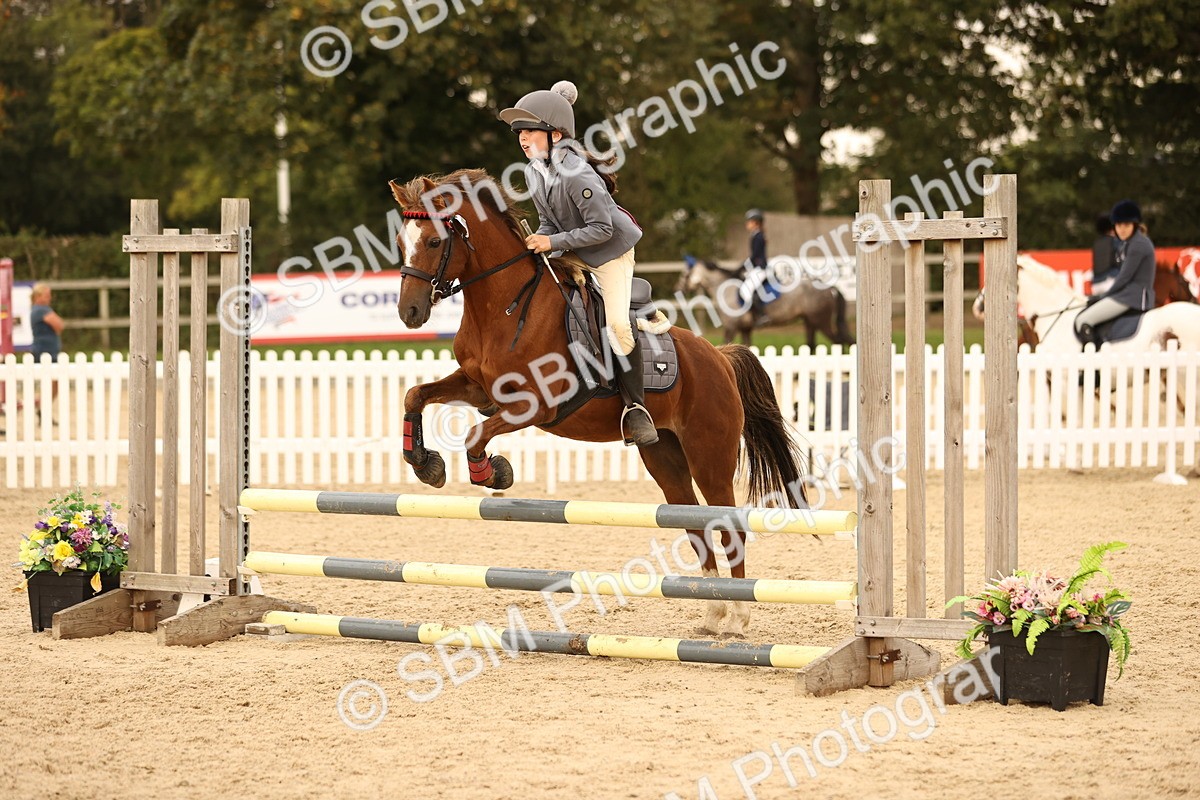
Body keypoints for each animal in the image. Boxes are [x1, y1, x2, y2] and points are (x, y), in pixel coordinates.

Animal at [388, 169, 811, 638]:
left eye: (432, 241)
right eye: (401, 241)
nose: (409, 312)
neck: (505, 306)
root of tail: (719, 356)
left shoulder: (536, 404)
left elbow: (475, 435)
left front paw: (494, 472)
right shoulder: (478, 389)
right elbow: (415, 395)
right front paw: (425, 464)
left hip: (709, 457)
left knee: (727, 526)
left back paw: (736, 616)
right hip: (665, 456)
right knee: (694, 523)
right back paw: (713, 612)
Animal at [676, 257, 854, 348]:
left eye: (685, 274)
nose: (679, 289)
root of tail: (829, 287)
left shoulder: (731, 327)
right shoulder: (746, 329)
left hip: (821, 321)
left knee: (838, 342)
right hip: (810, 322)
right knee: (811, 345)